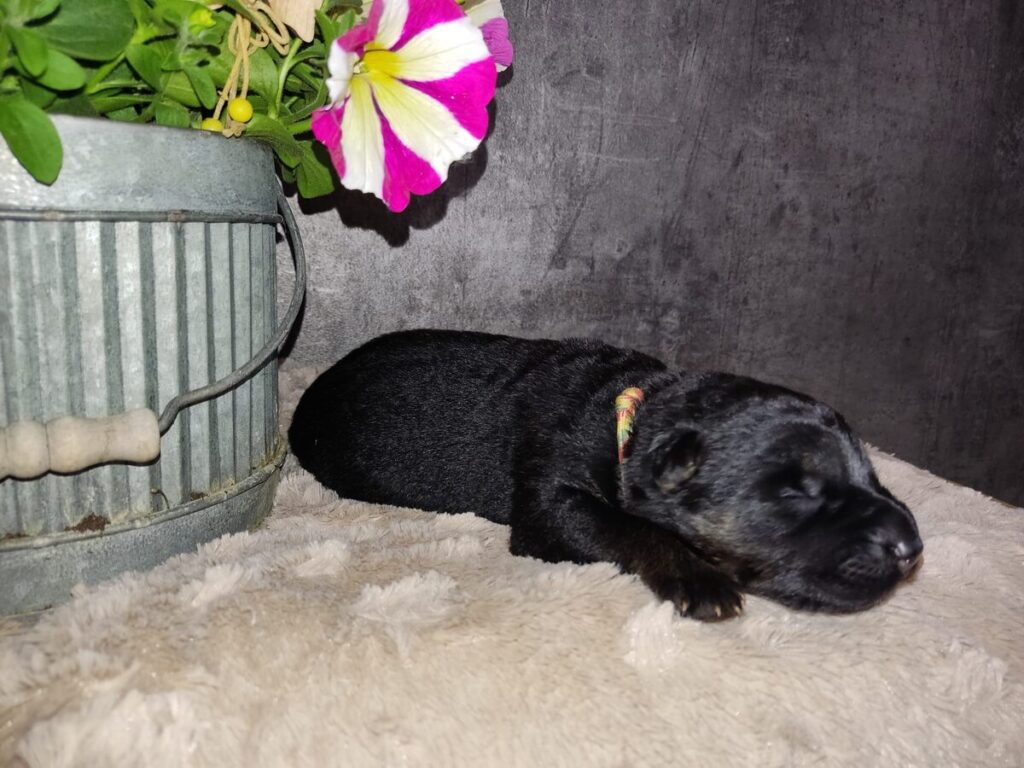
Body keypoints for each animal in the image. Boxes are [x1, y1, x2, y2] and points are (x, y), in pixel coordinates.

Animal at [289, 330, 923, 621]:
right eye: (794, 492)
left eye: (870, 471)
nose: (912, 548)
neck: (633, 418)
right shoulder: (549, 500)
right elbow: (629, 525)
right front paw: (700, 581)